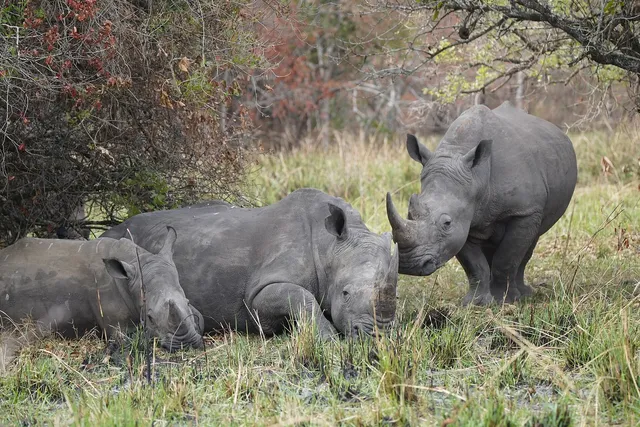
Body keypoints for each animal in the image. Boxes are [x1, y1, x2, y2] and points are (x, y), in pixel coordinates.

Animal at [101, 188, 399, 338]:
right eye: (345, 293)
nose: (377, 337)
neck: (329, 247)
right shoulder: (258, 292)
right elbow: (301, 297)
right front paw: (328, 340)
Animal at [386, 102, 577, 305]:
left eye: (447, 223)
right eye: (410, 214)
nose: (409, 264)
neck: (477, 178)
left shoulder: (524, 211)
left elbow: (507, 258)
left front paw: (505, 301)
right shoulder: (465, 219)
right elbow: (474, 265)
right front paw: (475, 303)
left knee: (529, 243)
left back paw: (524, 295)